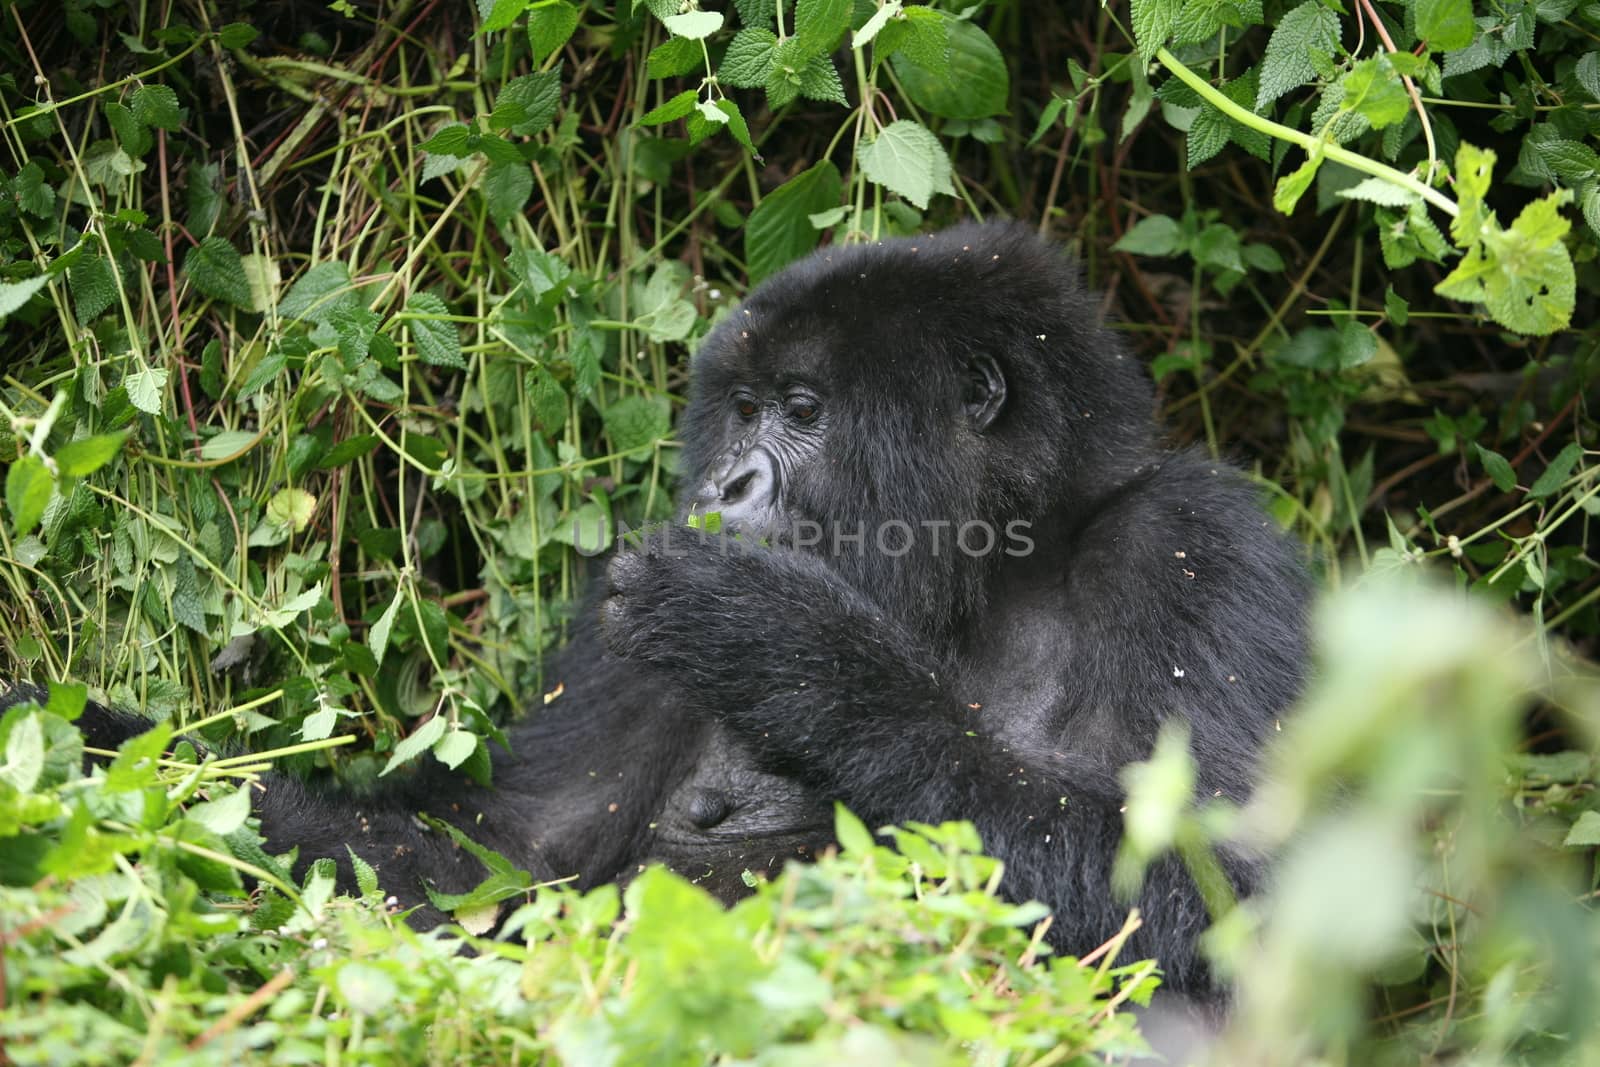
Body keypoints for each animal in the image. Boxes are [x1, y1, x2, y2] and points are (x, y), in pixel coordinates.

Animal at [3, 220, 1312, 998]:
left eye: (801, 408)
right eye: (739, 411)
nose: (726, 487)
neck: (990, 569)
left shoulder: (1198, 544)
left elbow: (1247, 893)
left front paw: (796, 654)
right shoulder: (616, 620)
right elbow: (489, 869)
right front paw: (80, 755)